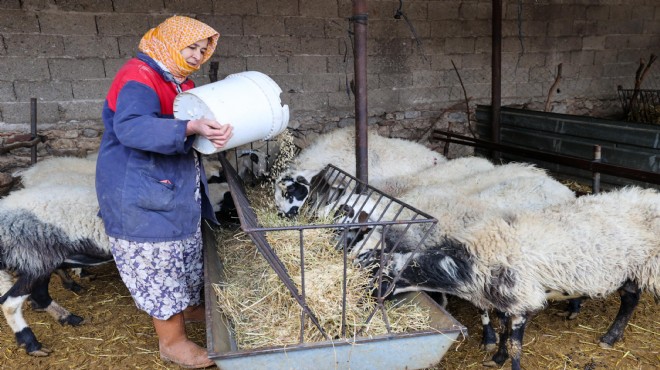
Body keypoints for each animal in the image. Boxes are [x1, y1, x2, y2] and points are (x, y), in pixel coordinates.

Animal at [368, 188, 656, 370]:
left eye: (378, 277)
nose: (367, 300)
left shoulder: (521, 300)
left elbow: (517, 345)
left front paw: (506, 359)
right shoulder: (503, 301)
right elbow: (503, 331)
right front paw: (497, 357)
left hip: (647, 264)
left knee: (630, 300)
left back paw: (610, 337)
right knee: (630, 299)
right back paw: (610, 335)